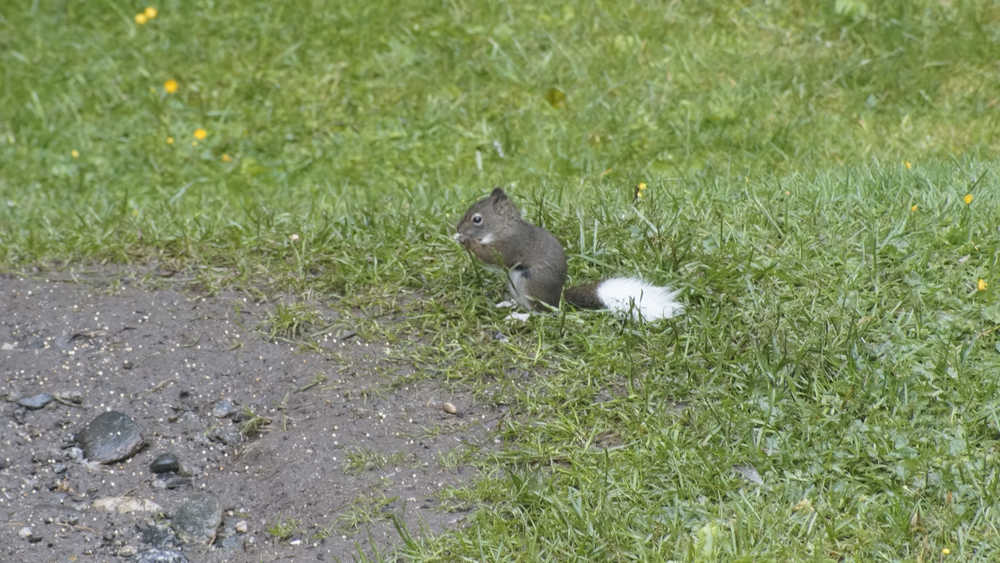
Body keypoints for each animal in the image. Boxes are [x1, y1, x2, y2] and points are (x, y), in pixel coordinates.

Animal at [454, 188, 683, 321]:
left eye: (477, 219)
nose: (458, 228)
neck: (502, 227)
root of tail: (558, 300)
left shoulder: (510, 245)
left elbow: (492, 257)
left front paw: (465, 241)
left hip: (530, 283)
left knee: (541, 313)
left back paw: (520, 316)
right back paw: (509, 304)